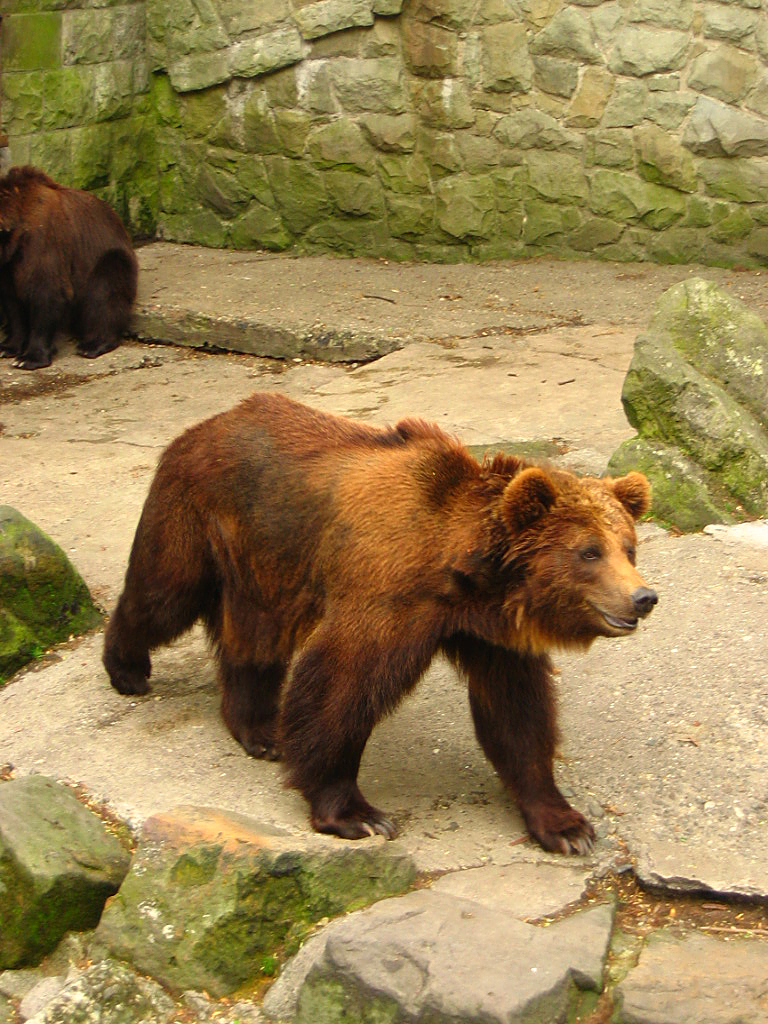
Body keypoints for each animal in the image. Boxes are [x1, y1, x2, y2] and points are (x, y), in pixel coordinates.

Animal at [0, 167, 138, 372]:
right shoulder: (9, 266)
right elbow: (12, 302)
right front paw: (8, 347)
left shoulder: (43, 243)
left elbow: (47, 293)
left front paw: (30, 357)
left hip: (106, 259)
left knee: (105, 289)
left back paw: (94, 343)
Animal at [103, 393, 663, 856]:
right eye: (589, 552)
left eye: (628, 547)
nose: (643, 598)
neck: (460, 573)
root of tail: (203, 425)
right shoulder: (388, 596)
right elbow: (339, 688)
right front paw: (355, 813)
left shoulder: (490, 634)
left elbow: (516, 713)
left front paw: (565, 825)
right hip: (200, 516)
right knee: (162, 595)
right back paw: (127, 668)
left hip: (263, 561)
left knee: (254, 640)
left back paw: (260, 729)